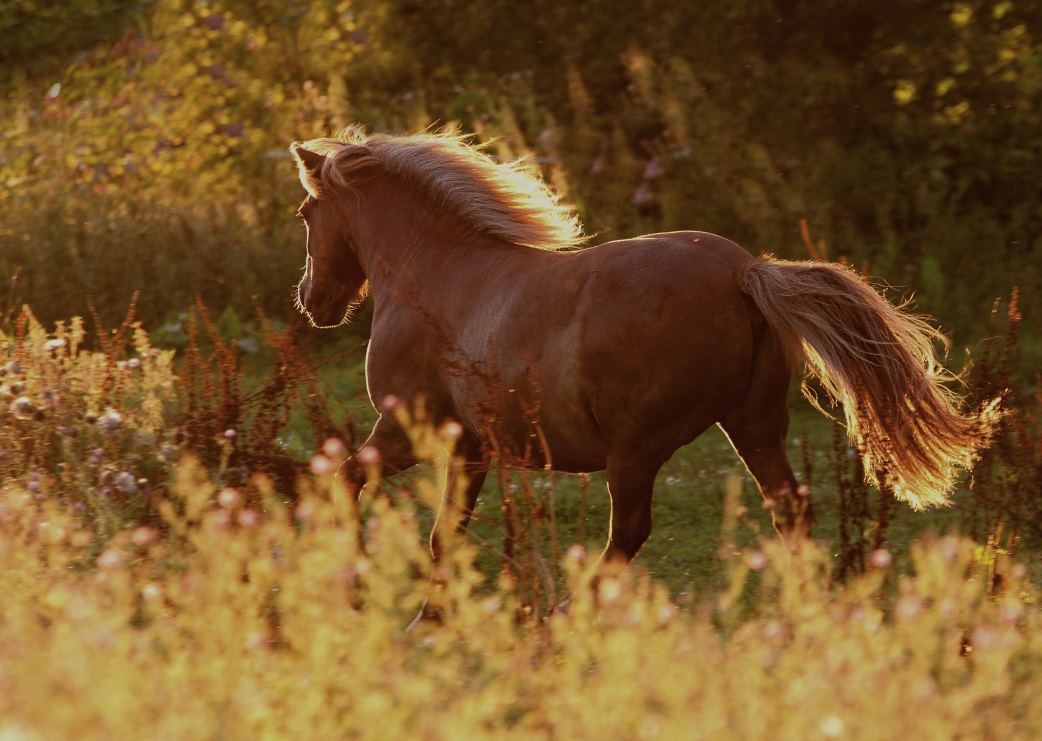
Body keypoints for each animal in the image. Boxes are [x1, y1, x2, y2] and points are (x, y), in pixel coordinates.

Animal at [287, 127, 1000, 566]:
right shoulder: (470, 449)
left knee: (627, 538)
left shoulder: (406, 432)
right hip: (754, 426)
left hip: (635, 451)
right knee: (790, 511)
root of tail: (746, 274)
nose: (311, 300)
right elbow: (445, 539)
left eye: (304, 213)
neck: (435, 273)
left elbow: (344, 484)